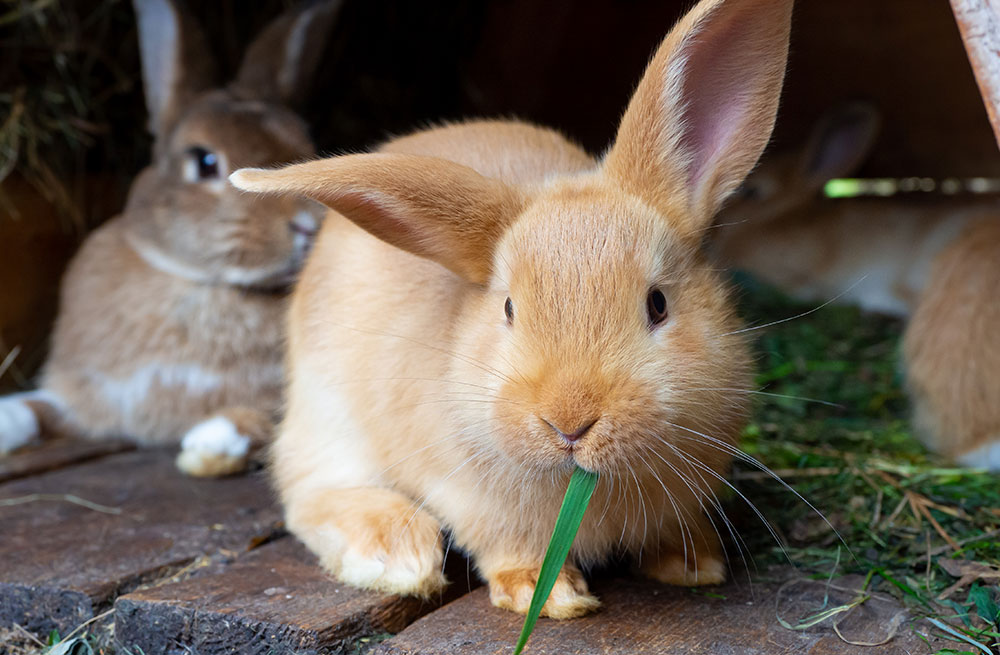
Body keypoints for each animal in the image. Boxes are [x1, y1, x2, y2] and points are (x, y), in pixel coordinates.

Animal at [0, 0, 340, 476]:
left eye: (308, 147)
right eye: (204, 161)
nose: (309, 223)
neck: (199, 284)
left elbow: (278, 414)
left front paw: (212, 442)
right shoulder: (92, 394)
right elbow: (40, 407)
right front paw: (4, 420)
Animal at [230, 0, 792, 620]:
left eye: (659, 303)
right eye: (508, 308)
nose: (570, 423)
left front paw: (694, 566)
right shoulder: (475, 504)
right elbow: (509, 549)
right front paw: (552, 598)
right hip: (327, 415)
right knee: (310, 491)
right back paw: (396, 553)